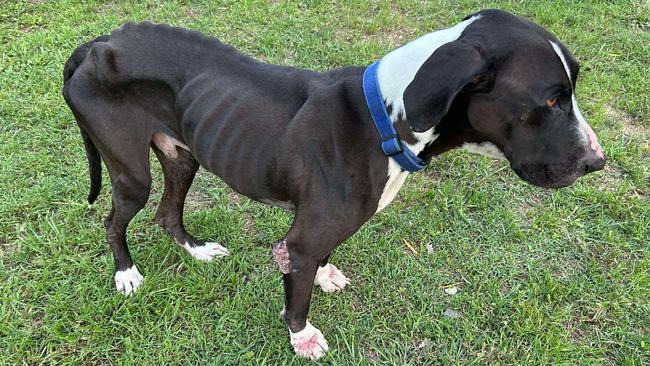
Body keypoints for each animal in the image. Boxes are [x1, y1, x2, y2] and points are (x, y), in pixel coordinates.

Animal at [62, 8, 604, 360]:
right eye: (551, 100)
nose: (597, 162)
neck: (386, 118)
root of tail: (98, 44)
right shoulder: (299, 241)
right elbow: (296, 298)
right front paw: (302, 337)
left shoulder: (322, 228)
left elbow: (323, 255)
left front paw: (324, 276)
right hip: (131, 172)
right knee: (115, 220)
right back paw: (126, 274)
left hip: (183, 155)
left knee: (167, 213)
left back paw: (196, 251)